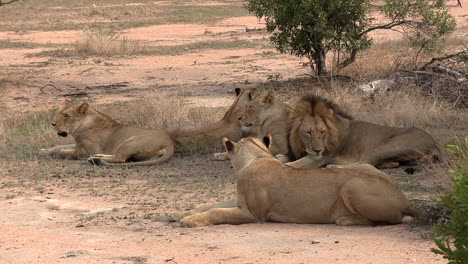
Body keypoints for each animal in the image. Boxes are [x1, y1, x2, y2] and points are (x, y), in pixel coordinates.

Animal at [39, 99, 175, 165]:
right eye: (59, 113)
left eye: (66, 116)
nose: (52, 124)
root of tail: (170, 143)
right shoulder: (78, 144)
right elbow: (58, 146)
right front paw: (44, 151)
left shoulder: (87, 150)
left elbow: (62, 151)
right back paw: (97, 157)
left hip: (130, 141)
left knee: (121, 159)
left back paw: (95, 160)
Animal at [176, 136, 416, 227]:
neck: (258, 156)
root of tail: (405, 199)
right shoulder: (239, 202)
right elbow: (211, 204)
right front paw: (179, 213)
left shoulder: (252, 214)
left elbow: (217, 212)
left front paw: (190, 221)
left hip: (351, 185)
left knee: (388, 220)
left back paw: (345, 220)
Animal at [286, 95, 442, 169]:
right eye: (308, 132)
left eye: (323, 132)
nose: (318, 150)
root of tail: (435, 144)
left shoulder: (321, 157)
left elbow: (292, 164)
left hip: (389, 146)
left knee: (366, 163)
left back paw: (333, 166)